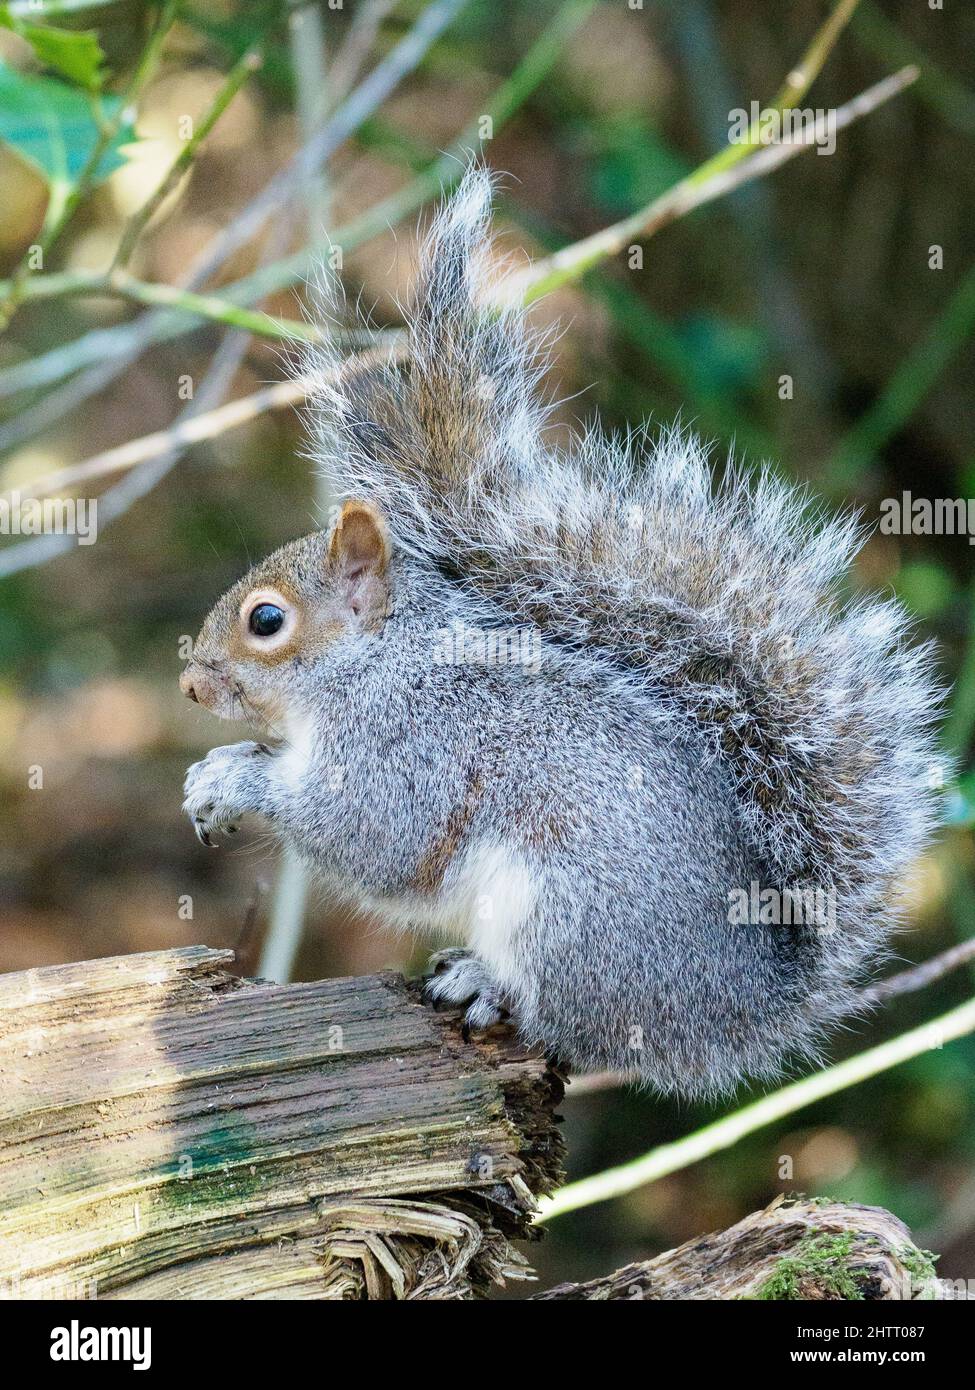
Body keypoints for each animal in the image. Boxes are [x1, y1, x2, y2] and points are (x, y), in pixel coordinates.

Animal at [180, 168, 944, 1098]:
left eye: (267, 621)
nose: (190, 683)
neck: (374, 667)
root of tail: (739, 1010)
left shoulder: (416, 744)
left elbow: (372, 833)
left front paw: (239, 781)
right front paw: (215, 769)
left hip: (564, 916)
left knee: (571, 1026)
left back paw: (485, 983)